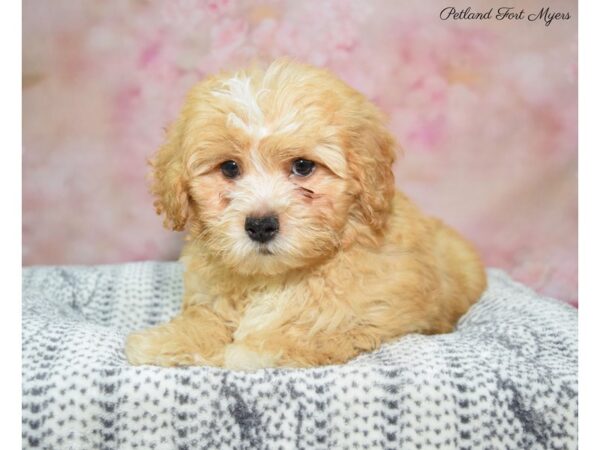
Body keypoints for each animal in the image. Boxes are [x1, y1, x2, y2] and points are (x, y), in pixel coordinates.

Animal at [124, 59, 486, 370]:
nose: (260, 225)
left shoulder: (375, 311)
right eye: (229, 168)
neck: (275, 277)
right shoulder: (210, 298)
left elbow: (317, 329)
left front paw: (254, 349)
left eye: (302, 166)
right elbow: (205, 320)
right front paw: (164, 340)